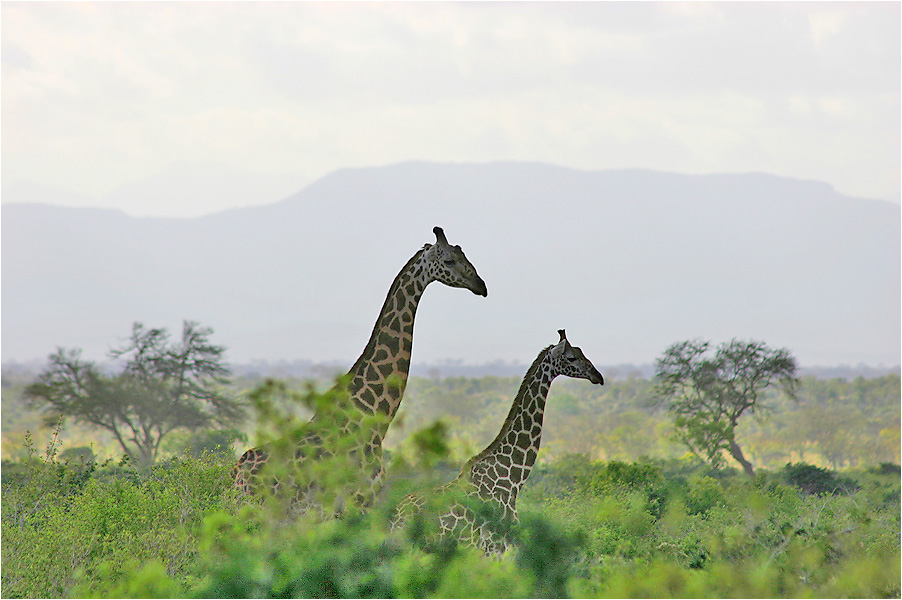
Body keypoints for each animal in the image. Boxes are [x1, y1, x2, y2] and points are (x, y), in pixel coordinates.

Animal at [233, 227, 488, 516]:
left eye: (464, 254)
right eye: (449, 260)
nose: (481, 285)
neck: (374, 417)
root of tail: (238, 475)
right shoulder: (361, 500)